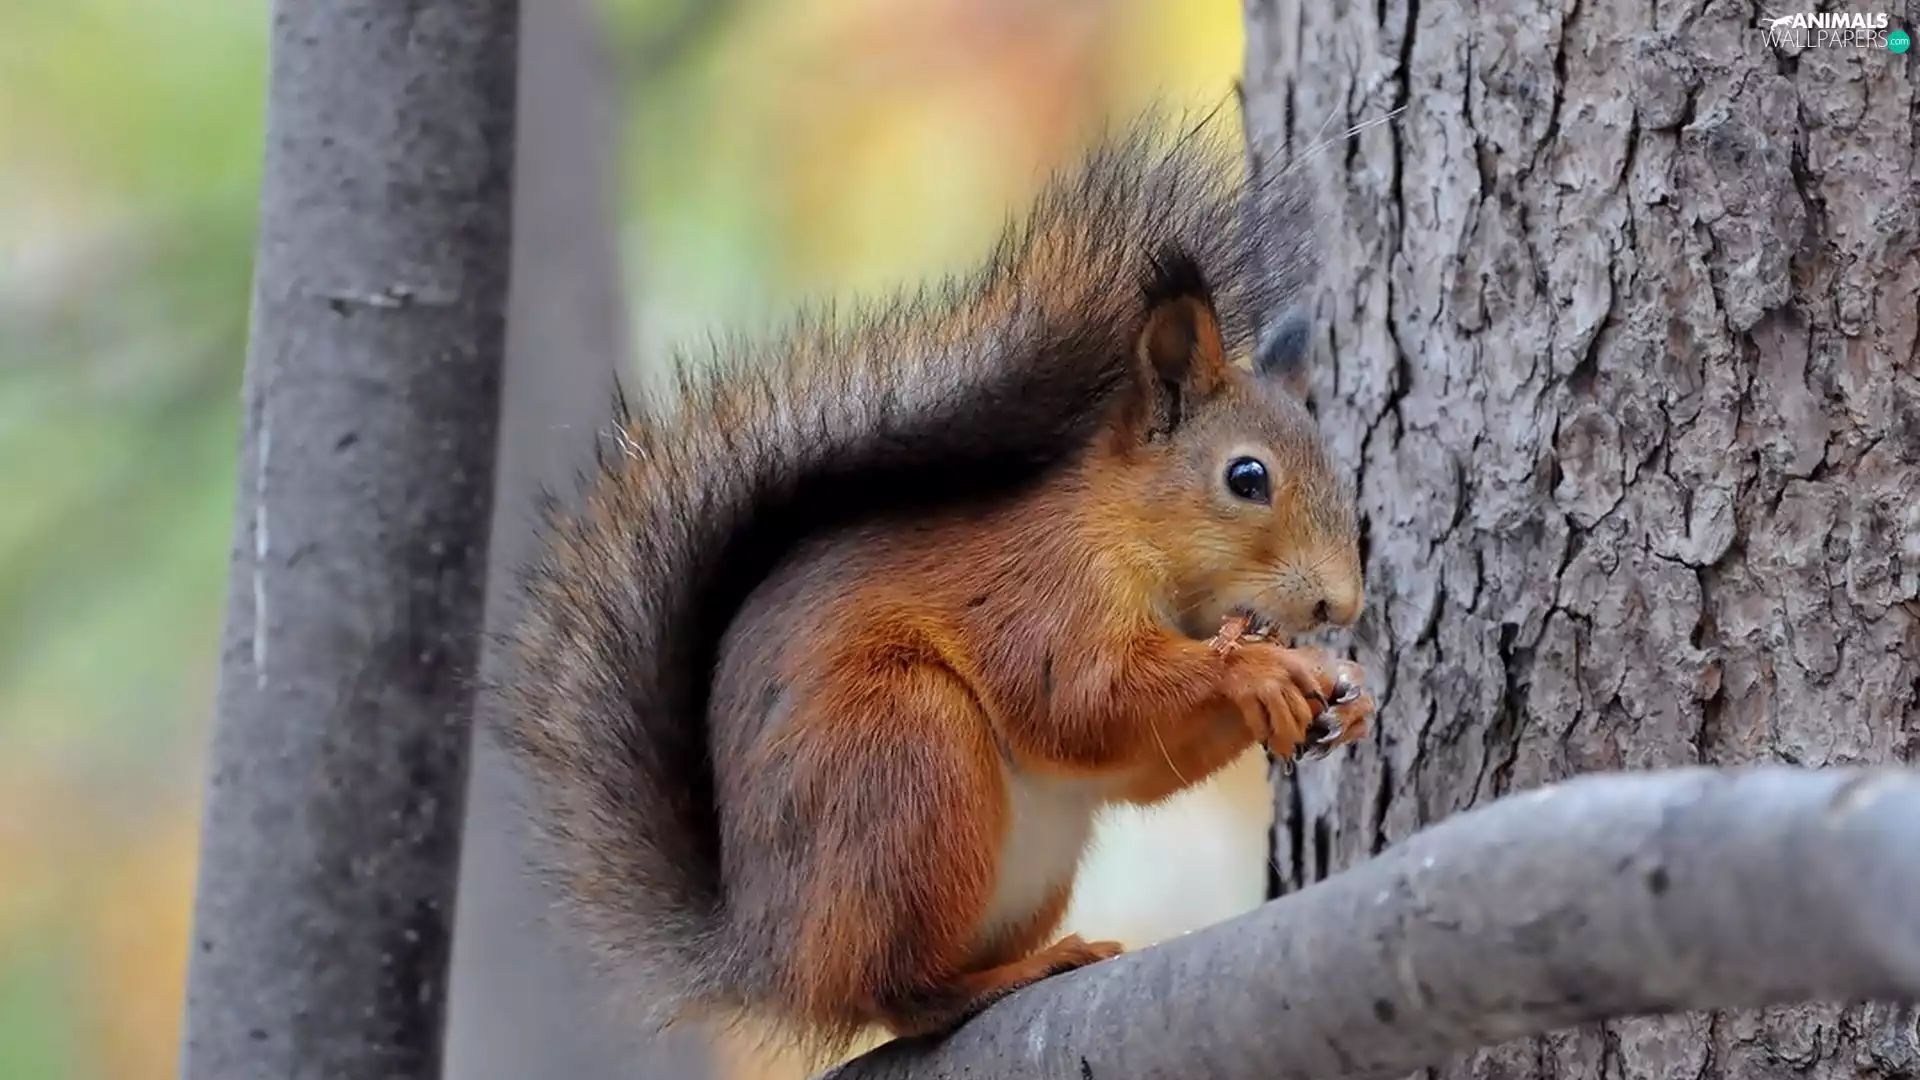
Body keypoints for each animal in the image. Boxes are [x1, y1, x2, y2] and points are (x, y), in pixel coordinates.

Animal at [496, 112, 1374, 1059]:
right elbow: (1080, 701)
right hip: (904, 757)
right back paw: (1008, 976)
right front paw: (1254, 669)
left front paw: (1342, 685)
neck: (1131, 536)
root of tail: (769, 957)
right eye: (1247, 477)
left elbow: (1136, 769)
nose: (1341, 606)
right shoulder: (1044, 593)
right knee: (895, 992)